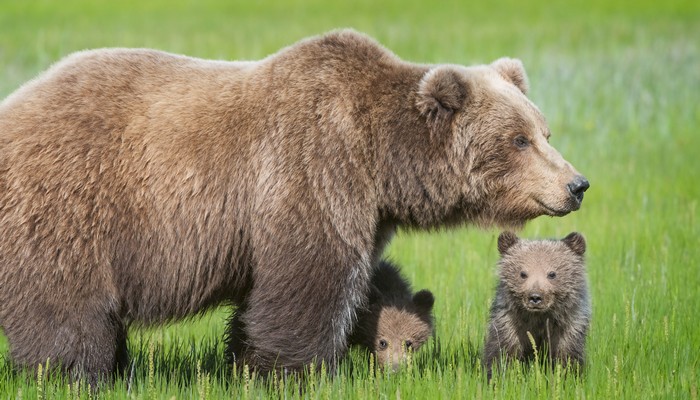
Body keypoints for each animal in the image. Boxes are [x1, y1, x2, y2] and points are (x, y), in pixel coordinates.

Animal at [0, 29, 588, 382]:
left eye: (544, 131)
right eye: (518, 140)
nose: (577, 184)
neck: (381, 160)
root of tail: (15, 103)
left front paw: (243, 361)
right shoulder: (312, 170)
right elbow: (309, 282)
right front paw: (295, 371)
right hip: (71, 206)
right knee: (66, 306)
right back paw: (74, 373)